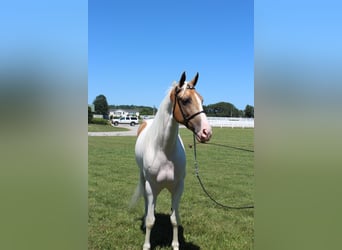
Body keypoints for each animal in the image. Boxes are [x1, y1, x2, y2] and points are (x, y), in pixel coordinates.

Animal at [132, 71, 212, 249]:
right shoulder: (151, 187)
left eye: (202, 99)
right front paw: (146, 245)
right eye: (185, 100)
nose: (206, 132)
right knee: (147, 204)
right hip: (143, 179)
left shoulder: (178, 188)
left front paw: (175, 245)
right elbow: (150, 220)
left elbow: (174, 219)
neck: (164, 151)